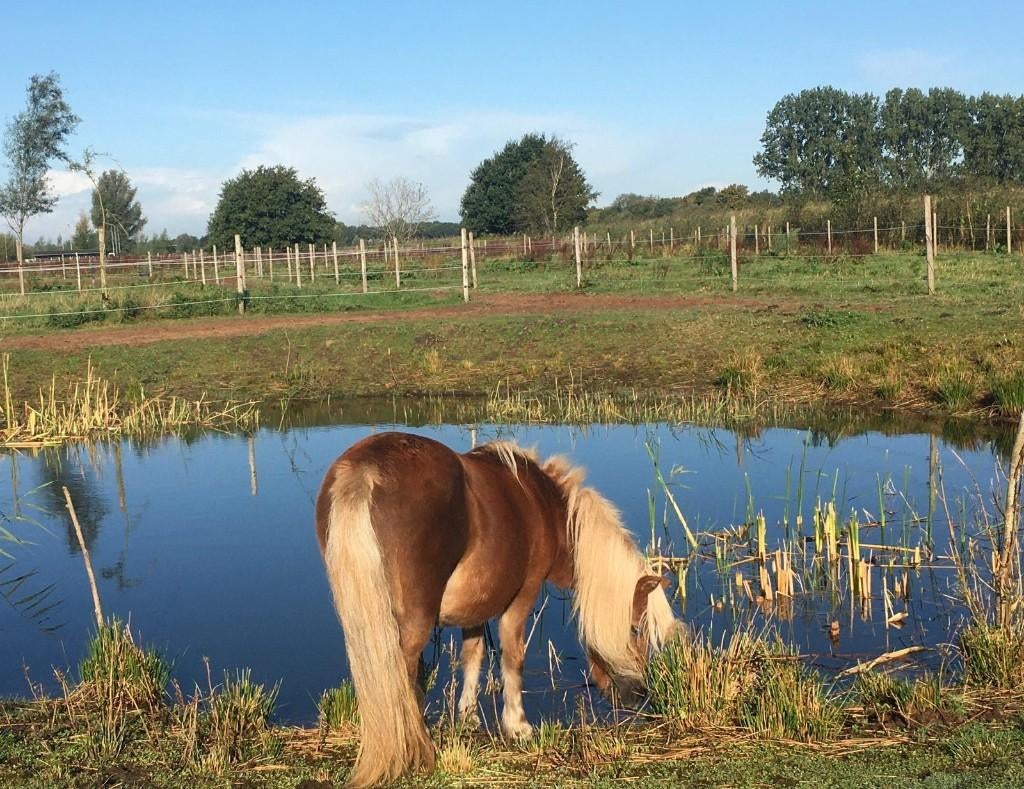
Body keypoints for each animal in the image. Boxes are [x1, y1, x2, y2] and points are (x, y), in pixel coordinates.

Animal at [315, 431, 682, 787]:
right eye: (635, 629)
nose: (638, 696)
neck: (544, 505)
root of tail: (366, 470)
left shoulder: (475, 607)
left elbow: (472, 656)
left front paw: (468, 716)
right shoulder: (522, 596)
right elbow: (512, 657)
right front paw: (517, 726)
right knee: (402, 672)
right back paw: (416, 749)